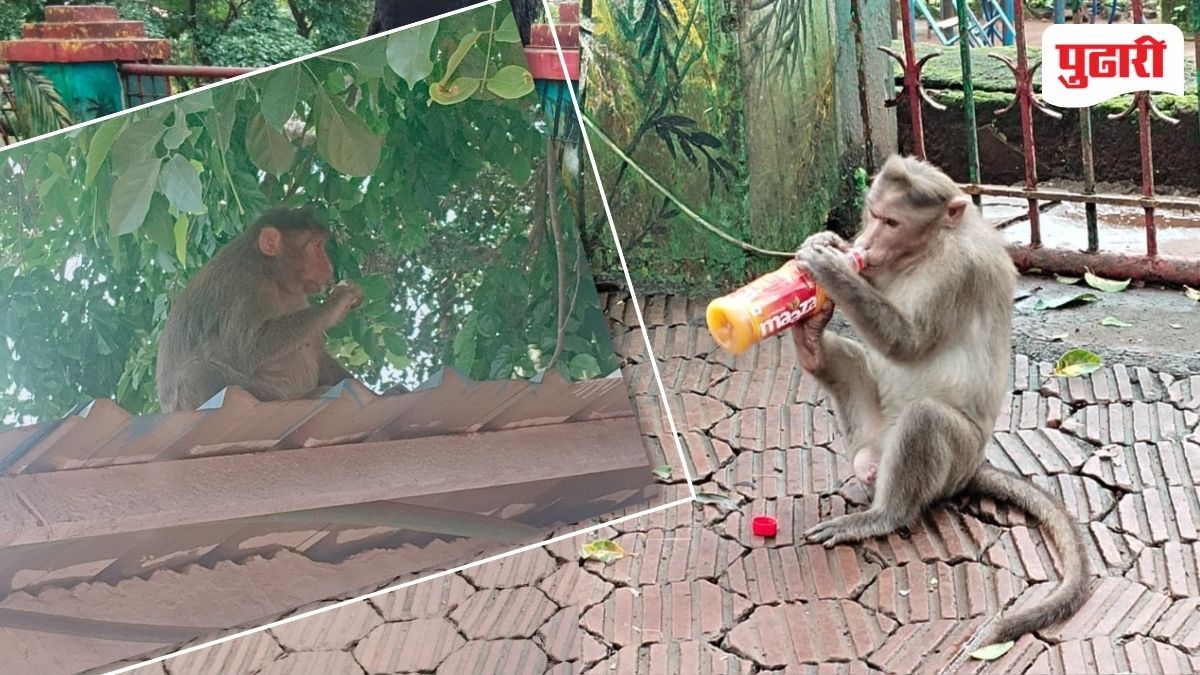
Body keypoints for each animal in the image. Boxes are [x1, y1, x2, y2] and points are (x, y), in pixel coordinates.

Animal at [155, 207, 364, 413]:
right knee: (195, 374)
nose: (328, 268)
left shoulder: (297, 296)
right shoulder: (245, 286)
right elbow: (248, 349)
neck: (269, 272)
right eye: (316, 245)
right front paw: (336, 303)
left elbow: (317, 353)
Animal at [791, 155, 1089, 646]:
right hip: (869, 431)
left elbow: (906, 343)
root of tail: (972, 467)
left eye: (893, 222)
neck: (927, 249)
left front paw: (830, 268)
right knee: (849, 359)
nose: (867, 242)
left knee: (924, 419)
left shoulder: (957, 270)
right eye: (873, 215)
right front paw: (827, 249)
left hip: (953, 458)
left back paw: (882, 516)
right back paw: (811, 344)